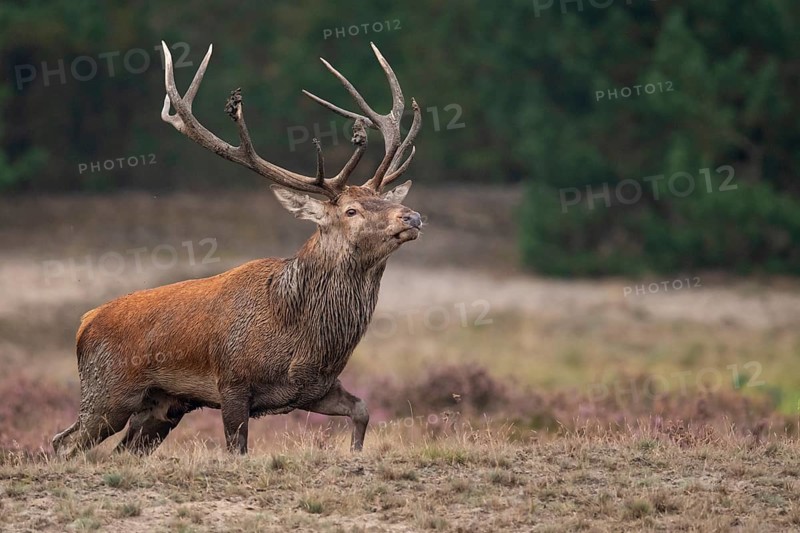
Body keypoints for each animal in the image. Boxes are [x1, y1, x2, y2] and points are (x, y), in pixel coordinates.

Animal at [52, 41, 422, 456]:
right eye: (351, 210)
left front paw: (355, 453)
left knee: (121, 450)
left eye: (382, 199)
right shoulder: (232, 382)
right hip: (107, 391)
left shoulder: (315, 388)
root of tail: (84, 323)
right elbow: (237, 447)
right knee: (63, 442)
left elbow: (363, 410)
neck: (302, 338)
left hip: (161, 406)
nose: (412, 217)